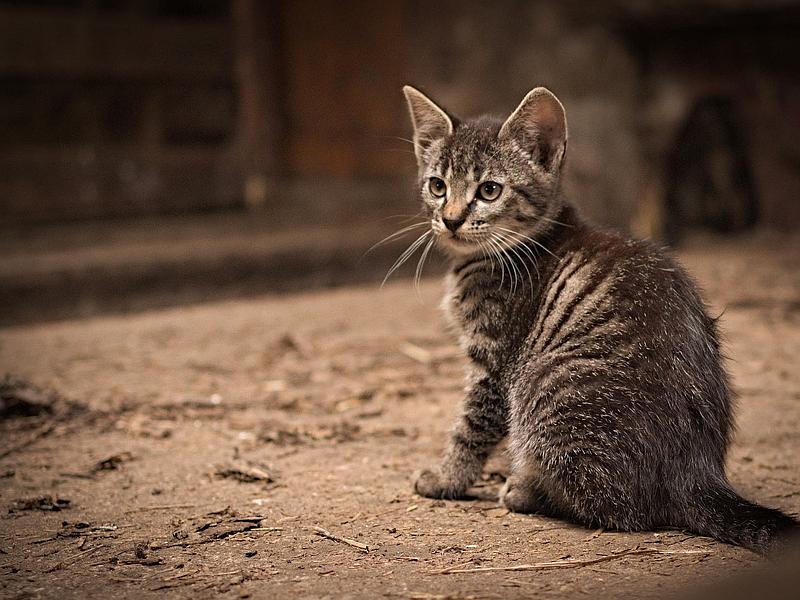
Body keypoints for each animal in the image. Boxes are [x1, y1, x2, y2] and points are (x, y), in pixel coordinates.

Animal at [404, 84, 796, 552]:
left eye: (490, 190)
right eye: (437, 186)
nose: (450, 219)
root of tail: (696, 472)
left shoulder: (496, 364)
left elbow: (471, 425)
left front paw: (446, 478)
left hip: (542, 384)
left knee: (618, 507)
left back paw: (527, 490)